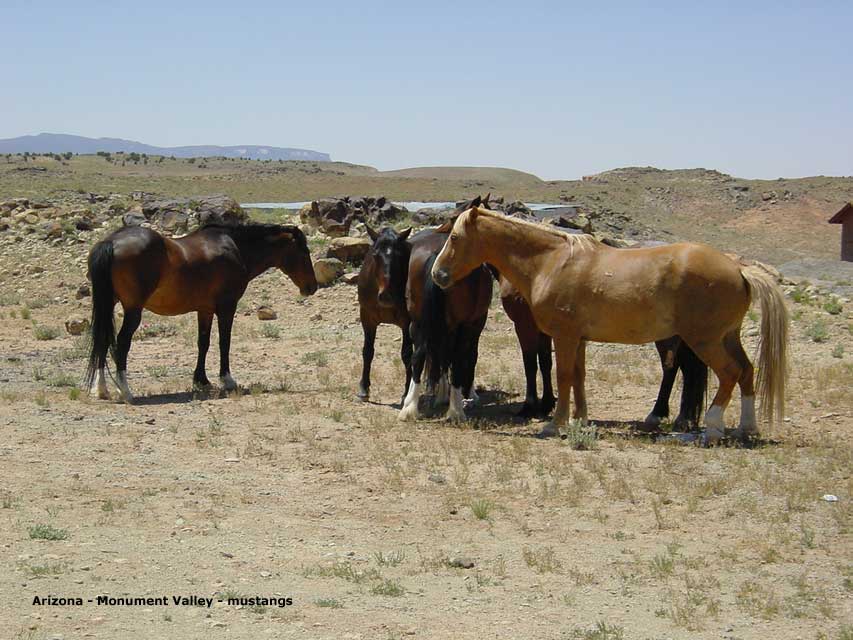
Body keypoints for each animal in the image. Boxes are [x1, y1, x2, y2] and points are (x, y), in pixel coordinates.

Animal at [85, 221, 318, 400]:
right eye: (304, 252)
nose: (312, 287)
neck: (236, 249)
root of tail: (111, 242)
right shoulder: (227, 307)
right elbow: (224, 342)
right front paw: (227, 379)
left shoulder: (204, 310)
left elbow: (203, 343)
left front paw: (201, 380)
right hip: (133, 310)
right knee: (122, 342)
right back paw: (124, 390)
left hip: (108, 304)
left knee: (103, 339)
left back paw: (101, 389)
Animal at [432, 202, 784, 442]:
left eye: (455, 237)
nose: (438, 274)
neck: (551, 262)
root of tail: (739, 269)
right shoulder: (579, 339)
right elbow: (578, 377)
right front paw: (580, 420)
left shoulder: (564, 336)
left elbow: (562, 376)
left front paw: (554, 424)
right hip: (727, 336)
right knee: (747, 371)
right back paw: (746, 427)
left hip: (705, 340)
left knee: (729, 373)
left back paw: (709, 429)